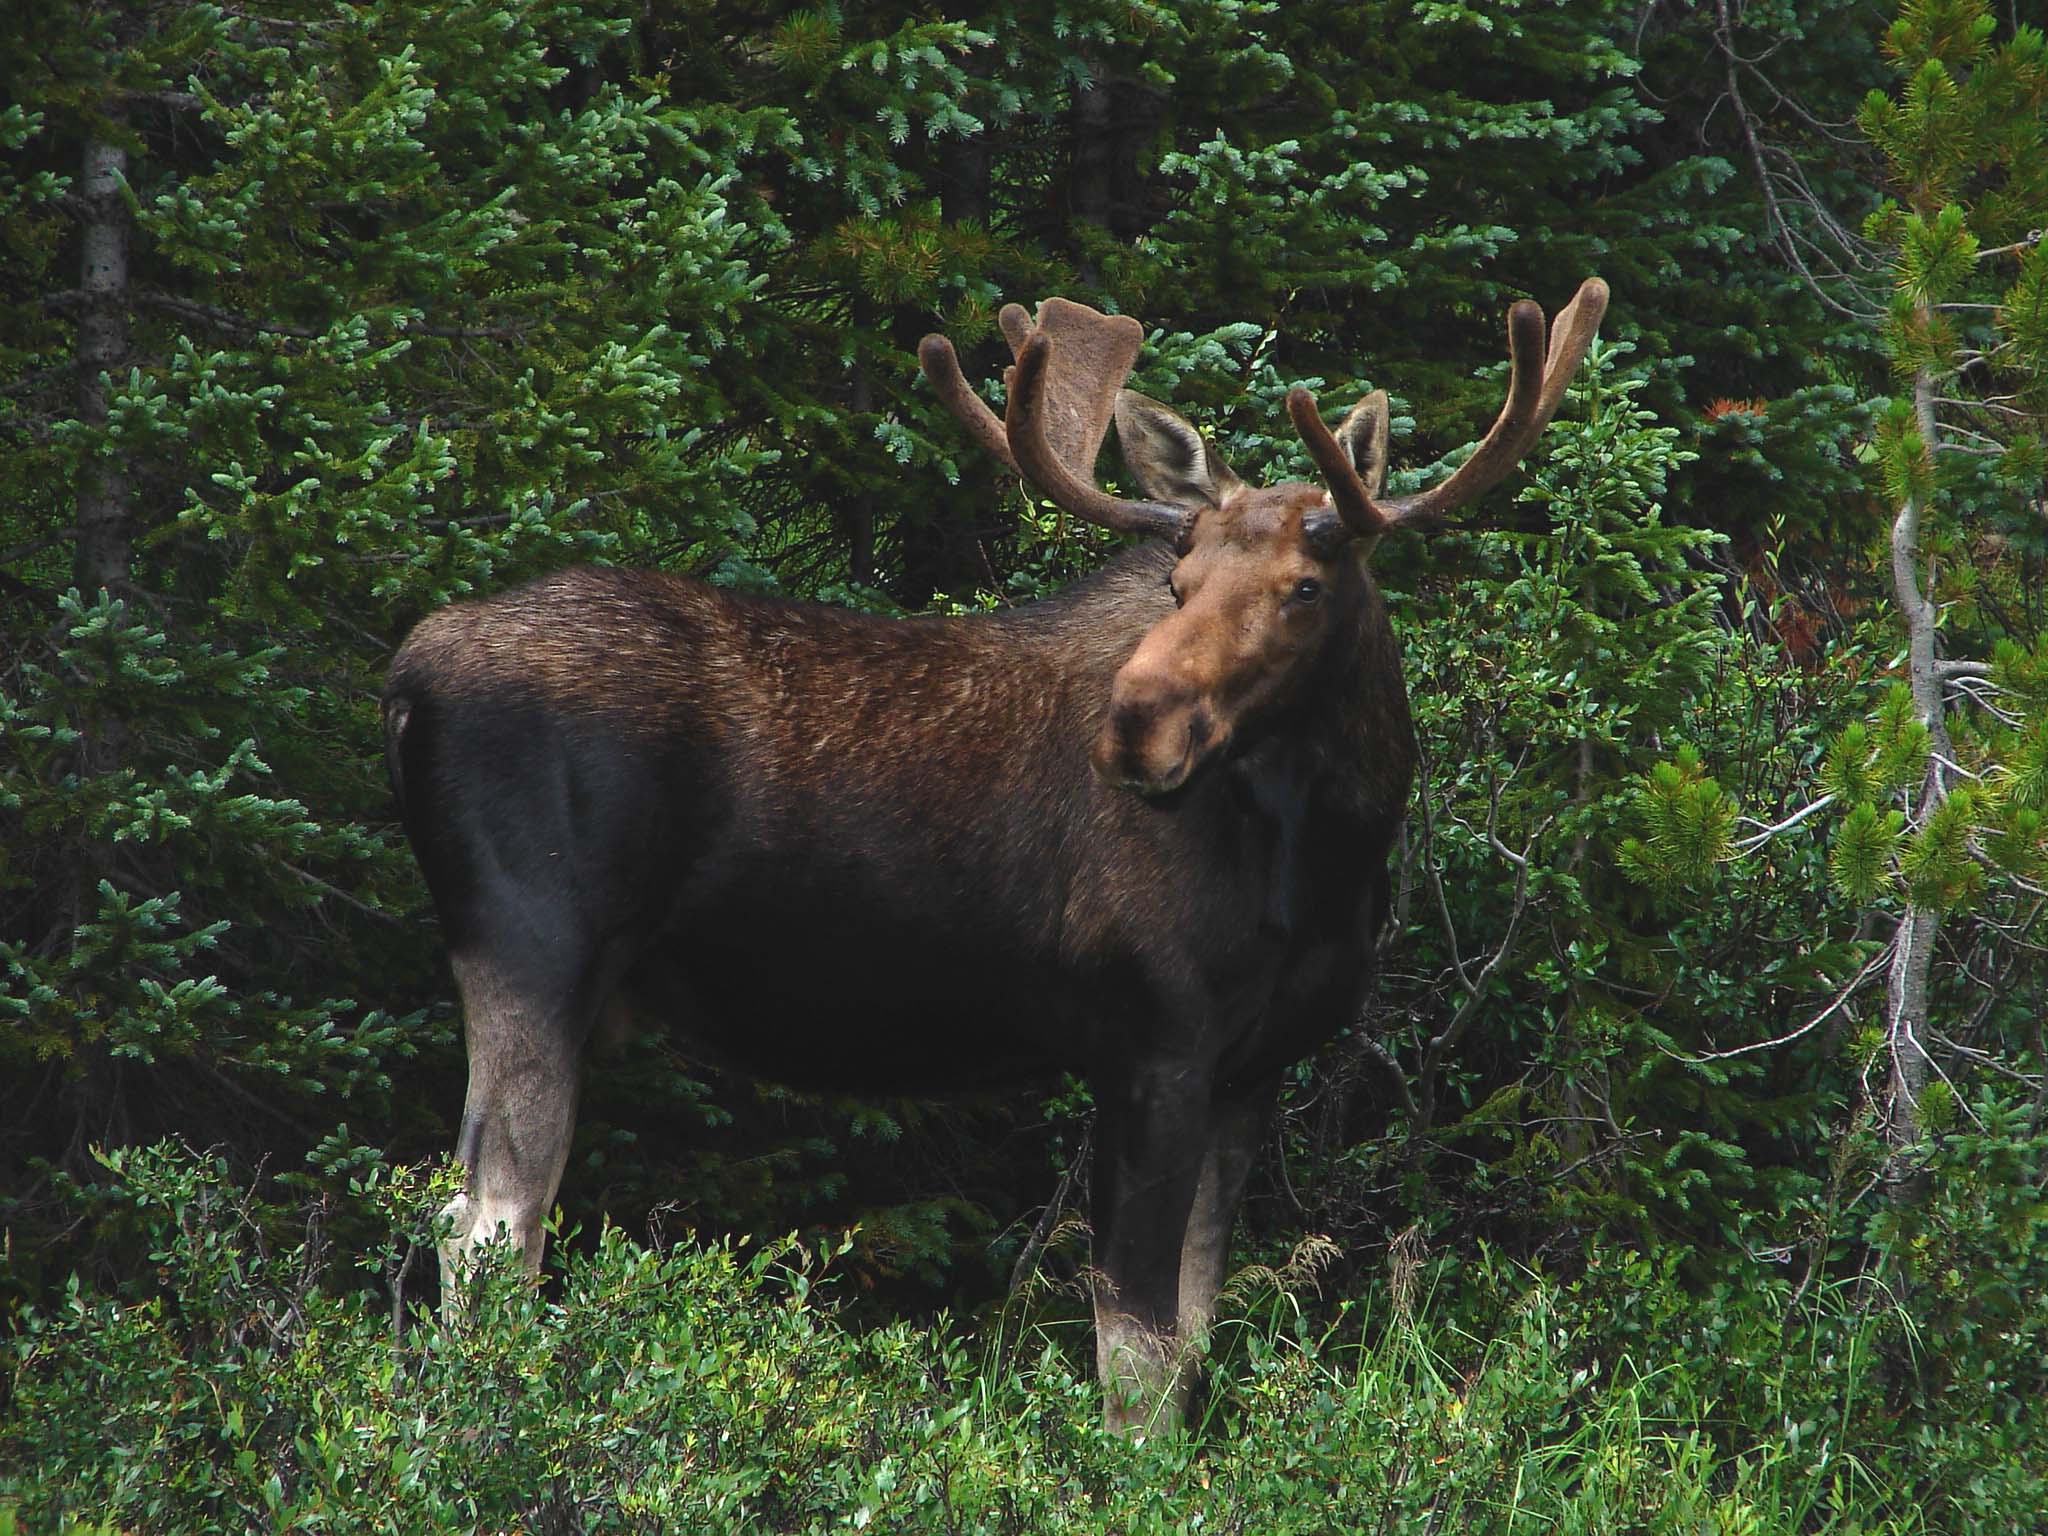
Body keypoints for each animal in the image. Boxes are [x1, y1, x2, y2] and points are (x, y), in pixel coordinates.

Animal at [380, 274, 1597, 1433]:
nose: (1137, 723)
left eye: (1303, 588)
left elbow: (1194, 1334)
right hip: (534, 946)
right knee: (487, 1228)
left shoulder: (1253, 1068)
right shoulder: (1152, 1043)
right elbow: (1135, 1355)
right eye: (1175, 581)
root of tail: (406, 675)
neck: (1328, 857)